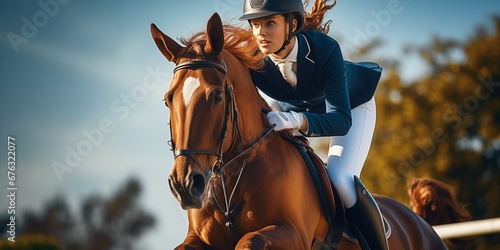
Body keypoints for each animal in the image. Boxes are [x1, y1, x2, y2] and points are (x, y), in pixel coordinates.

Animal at [150, 12, 448, 250]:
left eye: (217, 96)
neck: (233, 177)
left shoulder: (292, 233)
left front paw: (281, 119)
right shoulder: (199, 239)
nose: (185, 185)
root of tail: (421, 223)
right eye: (167, 99)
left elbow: (249, 241)